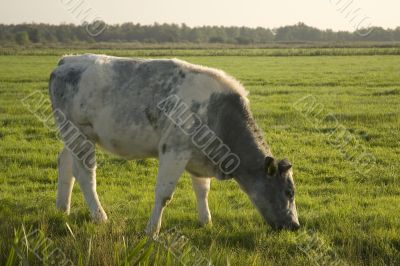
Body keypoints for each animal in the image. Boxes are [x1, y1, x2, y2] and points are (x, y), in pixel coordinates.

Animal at [49, 54, 300, 237]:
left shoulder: (199, 155)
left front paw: (206, 221)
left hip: (72, 135)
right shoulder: (174, 150)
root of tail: (68, 60)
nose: (295, 226)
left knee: (65, 163)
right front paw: (152, 230)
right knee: (84, 174)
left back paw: (62, 209)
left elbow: (202, 190)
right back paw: (100, 216)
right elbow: (164, 194)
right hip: (78, 133)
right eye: (289, 192)